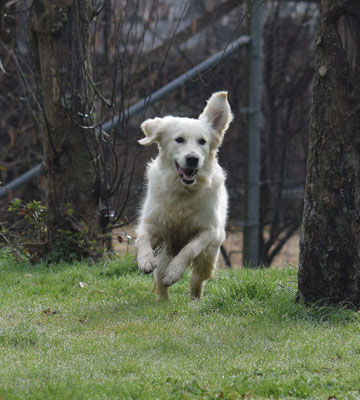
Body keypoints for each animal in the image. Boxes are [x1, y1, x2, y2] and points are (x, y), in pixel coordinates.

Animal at [136, 92, 233, 298]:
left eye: (202, 141)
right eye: (179, 139)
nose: (192, 158)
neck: (182, 192)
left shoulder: (207, 230)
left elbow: (189, 250)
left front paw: (174, 272)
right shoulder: (153, 222)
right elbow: (142, 238)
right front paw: (145, 260)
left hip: (210, 256)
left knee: (198, 278)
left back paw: (195, 300)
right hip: (165, 254)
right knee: (160, 280)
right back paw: (161, 301)